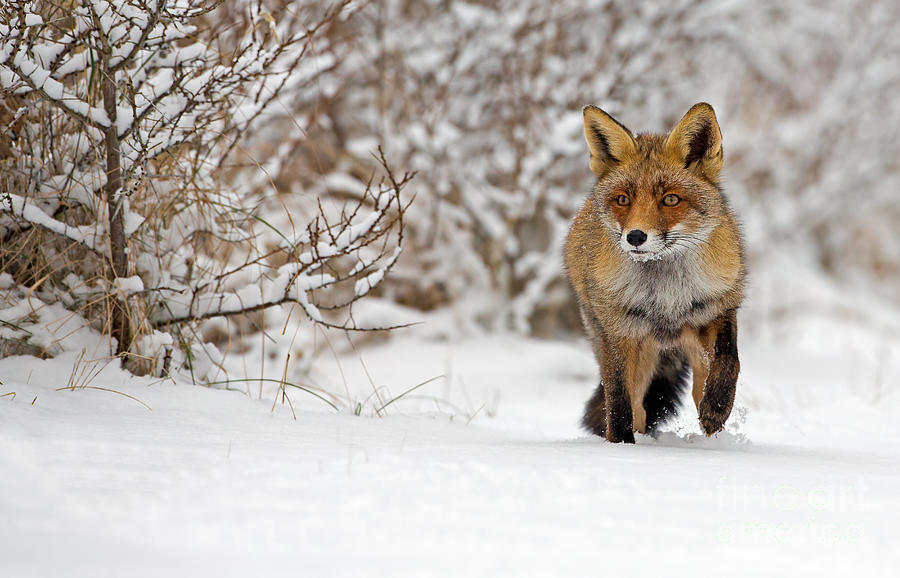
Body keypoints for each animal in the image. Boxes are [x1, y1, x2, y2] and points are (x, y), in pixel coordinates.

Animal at [564, 102, 744, 440]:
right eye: (623, 199)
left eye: (670, 199)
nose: (635, 236)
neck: (665, 296)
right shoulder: (619, 332)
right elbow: (619, 404)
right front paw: (621, 444)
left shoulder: (716, 310)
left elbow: (730, 361)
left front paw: (717, 408)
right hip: (632, 351)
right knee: (637, 407)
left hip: (691, 350)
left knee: (698, 389)